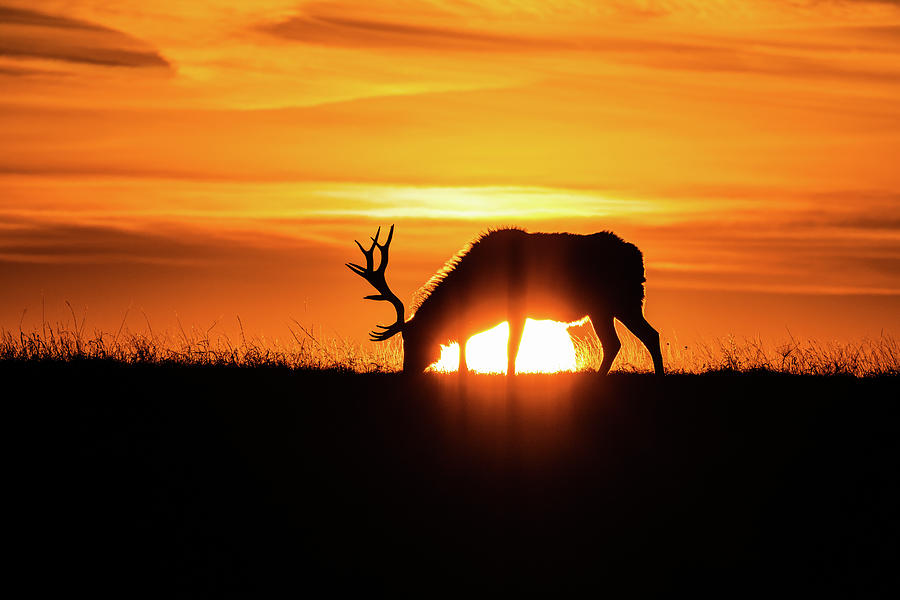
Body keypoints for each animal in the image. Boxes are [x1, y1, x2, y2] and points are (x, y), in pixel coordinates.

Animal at [348, 225, 664, 376]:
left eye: (413, 339)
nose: (407, 371)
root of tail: (639, 258)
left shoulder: (517, 311)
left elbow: (511, 350)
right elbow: (467, 338)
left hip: (620, 302)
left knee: (640, 337)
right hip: (608, 308)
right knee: (631, 339)